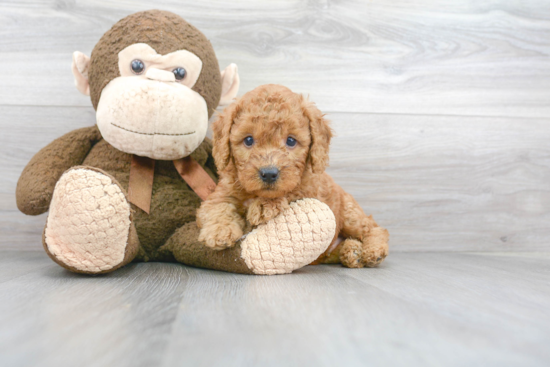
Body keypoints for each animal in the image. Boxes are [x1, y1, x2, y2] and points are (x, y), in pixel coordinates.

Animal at [196, 84, 390, 268]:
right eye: (248, 140)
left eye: (291, 141)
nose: (269, 174)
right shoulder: (222, 192)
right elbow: (218, 206)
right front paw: (219, 231)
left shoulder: (310, 190)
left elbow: (291, 191)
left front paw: (264, 206)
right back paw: (352, 252)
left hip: (350, 215)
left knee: (374, 228)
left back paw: (372, 251)